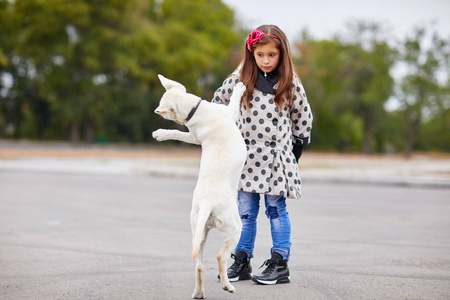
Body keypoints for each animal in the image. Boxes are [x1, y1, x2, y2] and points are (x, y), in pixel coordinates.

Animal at [154, 74, 246, 298]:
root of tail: (207, 203)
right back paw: (227, 286)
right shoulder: (230, 112)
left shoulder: (194, 136)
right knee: (221, 257)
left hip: (199, 232)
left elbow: (179, 134)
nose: (158, 113)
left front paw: (161, 134)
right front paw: (240, 87)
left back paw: (198, 293)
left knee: (198, 266)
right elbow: (235, 101)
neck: (197, 110)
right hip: (235, 226)